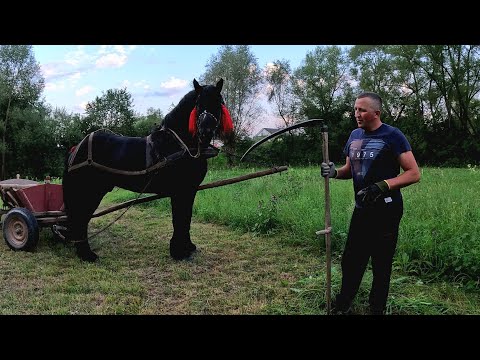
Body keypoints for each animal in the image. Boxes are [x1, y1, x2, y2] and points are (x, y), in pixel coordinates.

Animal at [62, 79, 232, 262]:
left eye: (218, 103)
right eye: (198, 104)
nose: (206, 131)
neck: (180, 144)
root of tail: (77, 148)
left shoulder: (190, 190)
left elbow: (186, 218)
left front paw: (188, 247)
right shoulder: (180, 191)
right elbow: (179, 219)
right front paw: (178, 252)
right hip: (89, 192)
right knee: (81, 219)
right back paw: (86, 254)